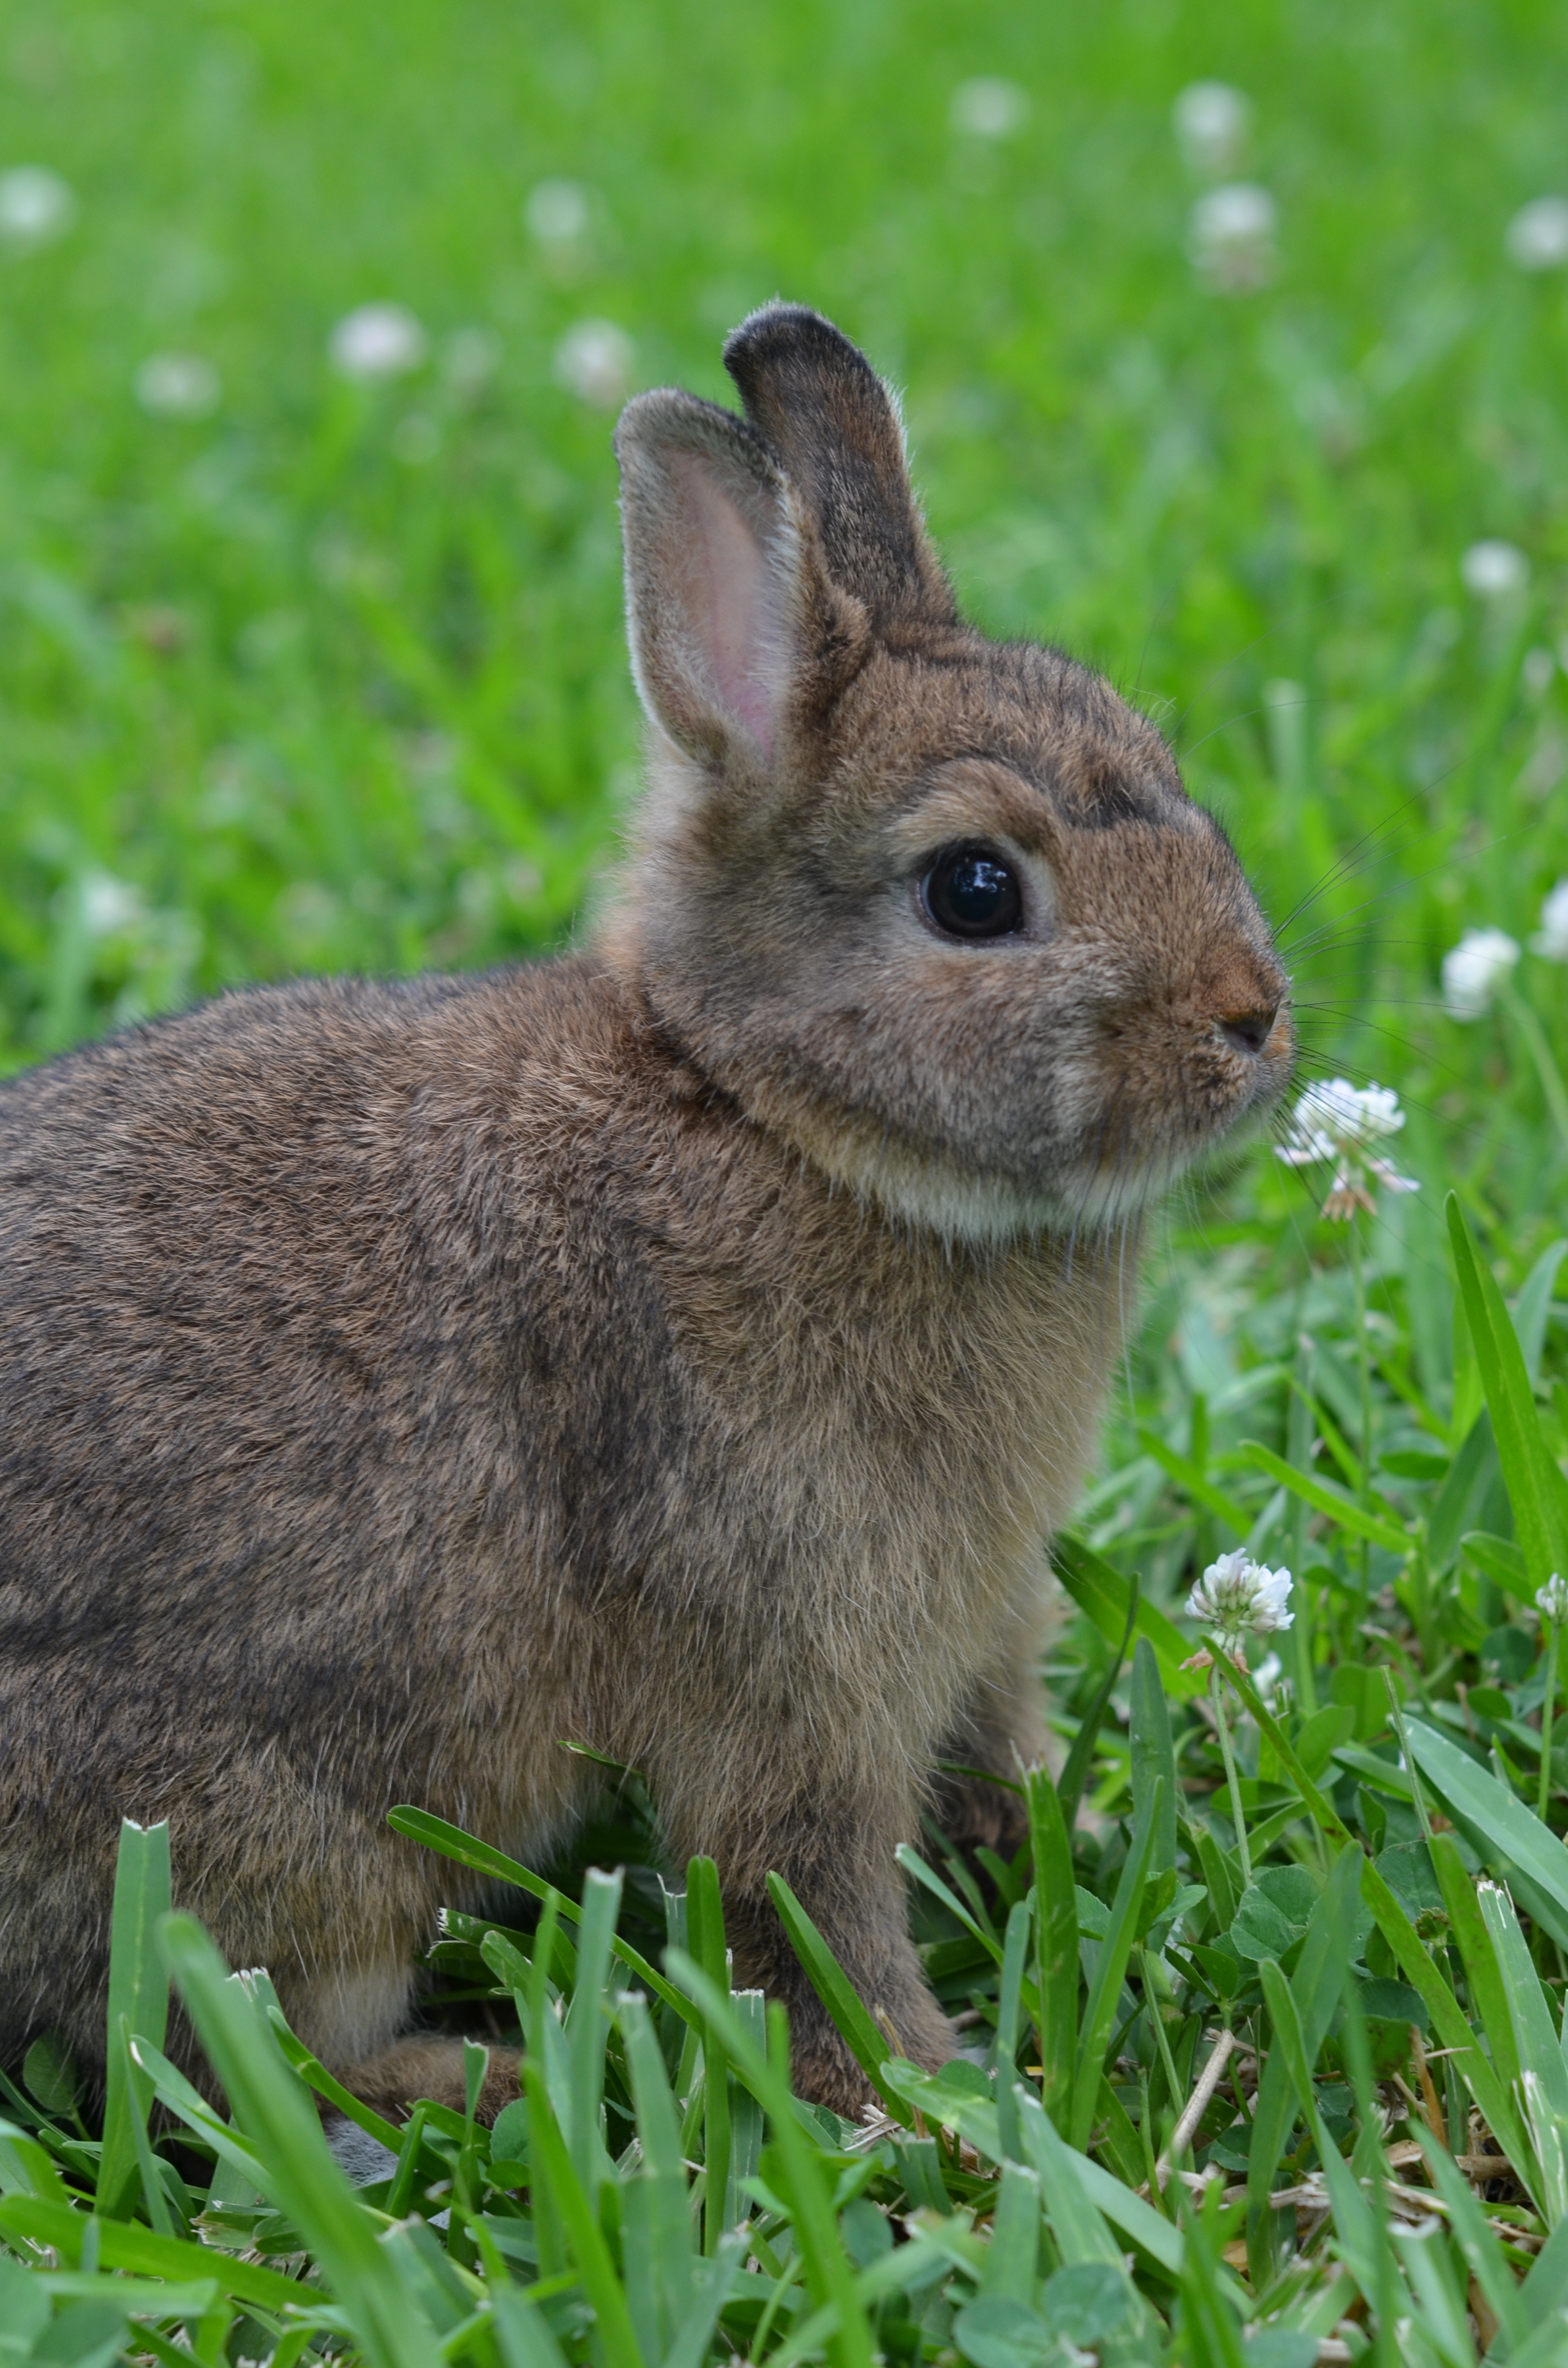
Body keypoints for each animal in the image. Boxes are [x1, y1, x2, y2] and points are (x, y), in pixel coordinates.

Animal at [0, 304, 1292, 2123]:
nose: (1253, 1017)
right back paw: (465, 2079)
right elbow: (795, 1892)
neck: (770, 1115)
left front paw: (1059, 1839)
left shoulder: (968, 1632)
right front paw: (930, 2101)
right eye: (975, 890)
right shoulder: (791, 1654)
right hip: (263, 1842)